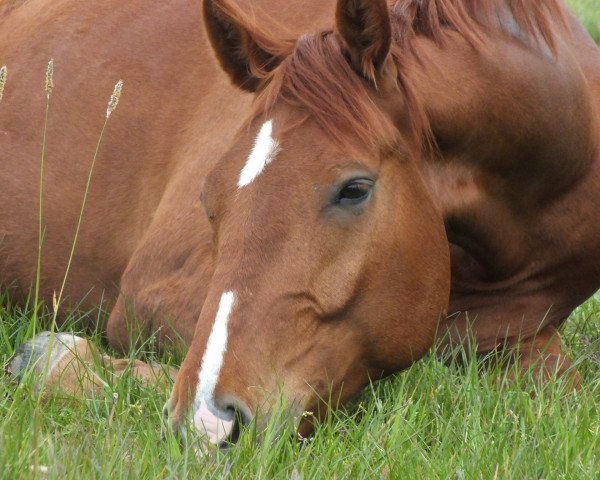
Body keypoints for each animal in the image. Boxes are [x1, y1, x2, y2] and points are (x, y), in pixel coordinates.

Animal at [2, 0, 596, 448]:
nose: (210, 421)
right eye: (209, 198)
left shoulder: (520, 340)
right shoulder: (155, 295)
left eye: (354, 189)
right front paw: (53, 359)